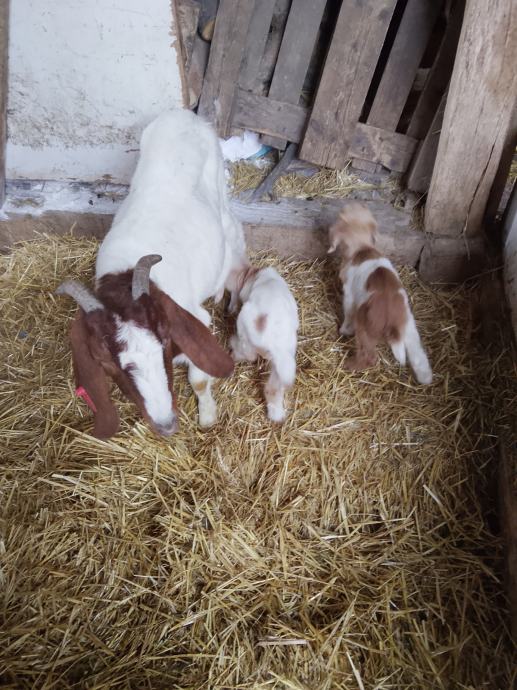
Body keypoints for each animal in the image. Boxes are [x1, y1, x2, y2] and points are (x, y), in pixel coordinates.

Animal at [56, 109, 248, 439]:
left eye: (165, 339)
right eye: (105, 362)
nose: (166, 424)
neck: (124, 273)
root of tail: (182, 114)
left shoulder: (194, 317)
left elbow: (199, 377)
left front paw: (208, 415)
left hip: (222, 200)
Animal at [230, 266, 299, 422]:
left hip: (244, 333)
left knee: (249, 355)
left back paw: (232, 346)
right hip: (283, 363)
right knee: (272, 389)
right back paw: (277, 417)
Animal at [328, 202, 432, 385]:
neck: (363, 248)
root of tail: (394, 321)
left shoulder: (349, 296)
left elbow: (347, 313)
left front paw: (344, 330)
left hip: (365, 329)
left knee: (369, 356)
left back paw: (350, 365)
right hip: (409, 327)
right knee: (418, 354)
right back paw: (425, 378)